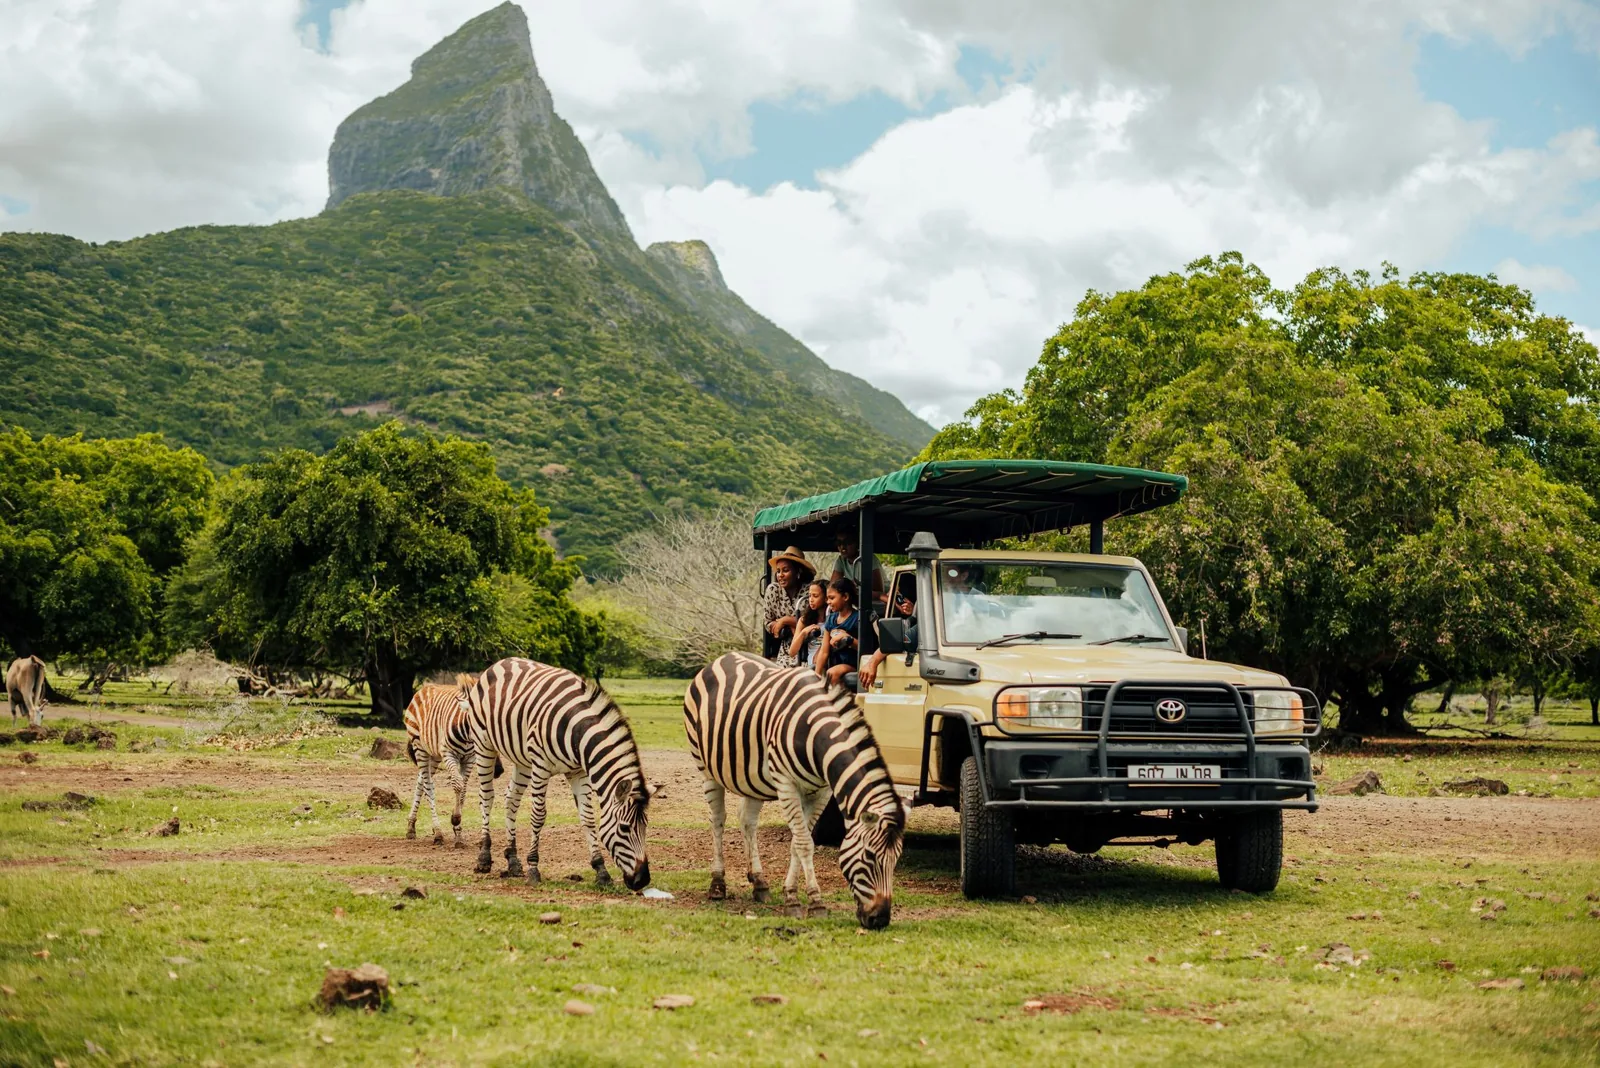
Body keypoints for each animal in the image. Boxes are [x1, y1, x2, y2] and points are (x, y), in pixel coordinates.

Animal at [402, 676, 478, 847]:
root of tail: (424, 689)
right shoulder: (448, 753)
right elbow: (457, 783)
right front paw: (455, 819)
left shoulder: (470, 758)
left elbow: (463, 789)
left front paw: (458, 833)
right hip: (420, 747)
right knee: (428, 785)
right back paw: (438, 833)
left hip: (434, 754)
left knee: (421, 781)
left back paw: (411, 827)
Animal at [465, 658, 652, 891]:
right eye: (624, 828)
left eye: (645, 826)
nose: (643, 880)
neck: (576, 731)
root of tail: (501, 662)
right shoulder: (541, 766)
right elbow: (538, 816)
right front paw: (533, 868)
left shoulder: (578, 771)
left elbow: (588, 818)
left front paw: (601, 871)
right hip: (484, 745)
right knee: (487, 798)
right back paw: (484, 857)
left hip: (522, 759)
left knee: (511, 799)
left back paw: (513, 861)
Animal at [683, 651, 905, 930]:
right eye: (869, 856)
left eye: (896, 860)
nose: (880, 920)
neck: (816, 736)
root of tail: (722, 658)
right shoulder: (787, 784)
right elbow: (804, 843)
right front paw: (813, 902)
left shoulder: (820, 791)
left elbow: (797, 843)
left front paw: (792, 894)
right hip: (705, 767)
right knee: (718, 821)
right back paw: (717, 884)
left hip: (752, 777)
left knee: (747, 821)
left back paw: (759, 882)